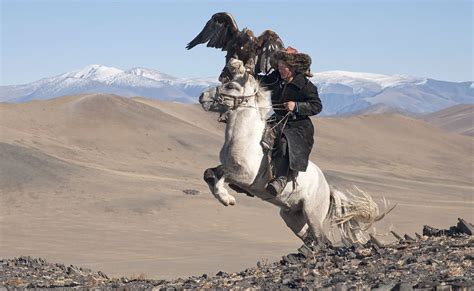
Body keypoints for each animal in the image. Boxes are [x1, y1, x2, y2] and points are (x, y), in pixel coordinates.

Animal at [198, 58, 384, 246]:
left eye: (231, 86)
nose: (202, 97)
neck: (247, 137)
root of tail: (327, 189)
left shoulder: (246, 176)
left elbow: (221, 174)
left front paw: (226, 199)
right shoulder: (232, 170)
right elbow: (210, 173)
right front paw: (224, 197)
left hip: (312, 215)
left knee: (322, 241)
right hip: (292, 217)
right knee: (311, 238)